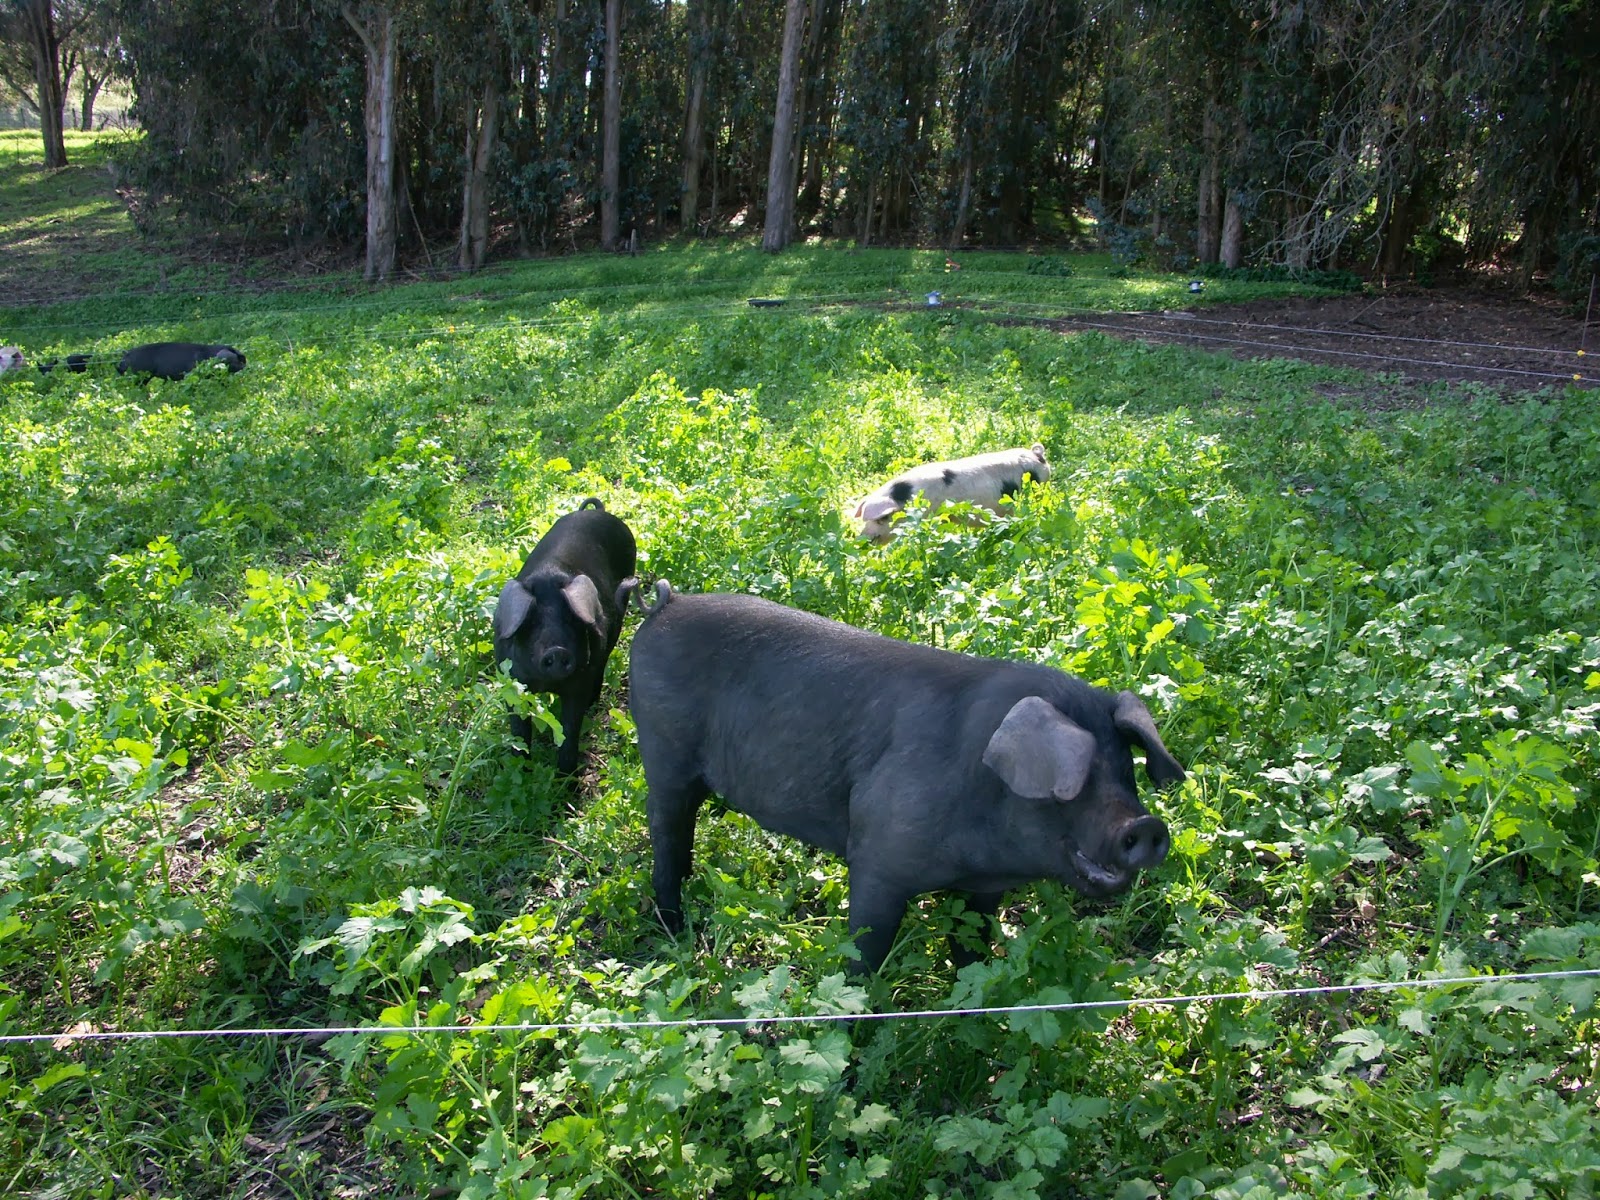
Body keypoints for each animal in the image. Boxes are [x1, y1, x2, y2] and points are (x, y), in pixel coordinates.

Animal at [493, 498, 638, 775]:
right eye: (531, 621)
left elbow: (570, 728)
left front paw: (565, 777)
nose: (557, 650)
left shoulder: (578, 682)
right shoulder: (512, 682)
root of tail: (598, 512)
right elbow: (519, 729)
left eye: (571, 619)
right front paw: (521, 770)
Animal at [626, 584, 1185, 973]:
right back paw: (675, 931)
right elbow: (865, 953)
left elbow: (972, 946)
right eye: (1073, 780)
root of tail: (665, 605)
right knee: (666, 838)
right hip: (662, 750)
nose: (1147, 826)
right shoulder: (879, 860)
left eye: (1126, 770)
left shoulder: (984, 889)